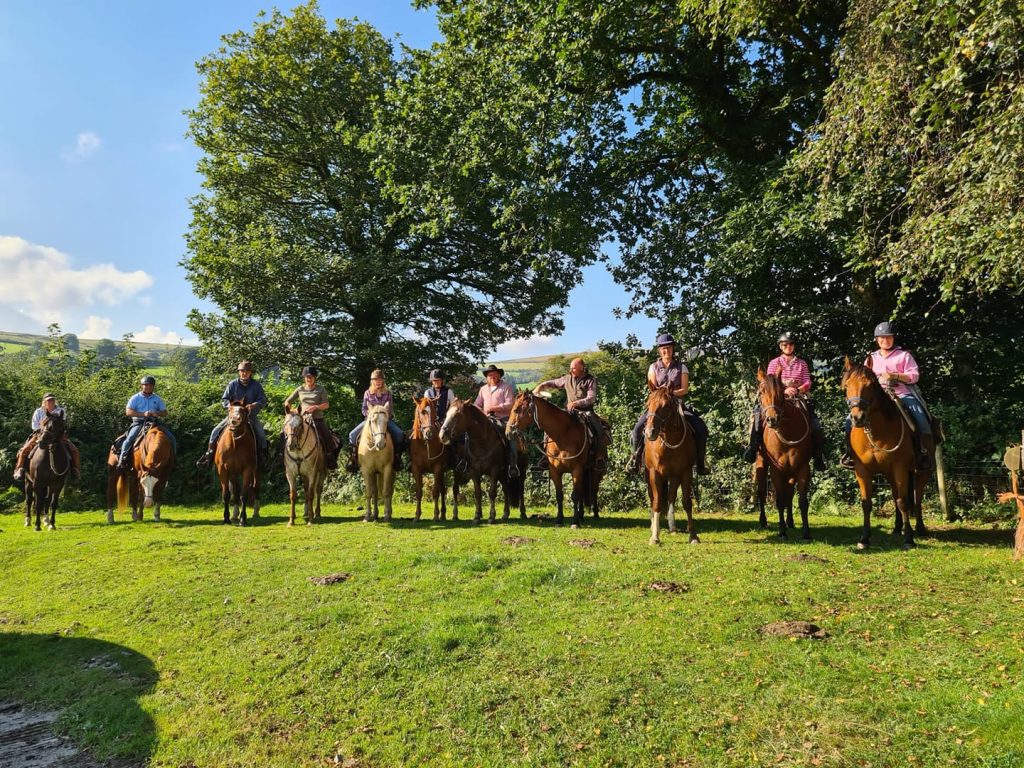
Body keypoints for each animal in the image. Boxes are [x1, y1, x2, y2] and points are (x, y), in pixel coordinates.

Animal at [506, 390, 602, 528]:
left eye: (516, 409)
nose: (508, 431)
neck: (563, 435)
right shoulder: (555, 471)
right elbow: (559, 496)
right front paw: (559, 520)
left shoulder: (577, 470)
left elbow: (574, 496)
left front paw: (574, 522)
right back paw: (581, 515)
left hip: (595, 471)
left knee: (593, 491)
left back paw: (594, 514)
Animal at [643, 383, 698, 545]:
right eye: (648, 404)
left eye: (666, 405)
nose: (650, 432)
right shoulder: (654, 473)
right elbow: (656, 502)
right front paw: (655, 537)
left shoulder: (685, 472)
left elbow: (686, 502)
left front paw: (693, 535)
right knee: (655, 498)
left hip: (674, 477)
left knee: (671, 497)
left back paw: (672, 527)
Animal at [756, 369, 813, 539]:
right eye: (761, 391)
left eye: (781, 392)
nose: (772, 419)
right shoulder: (776, 469)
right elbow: (780, 500)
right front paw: (781, 531)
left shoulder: (803, 467)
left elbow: (802, 501)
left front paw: (806, 532)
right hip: (761, 463)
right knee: (761, 491)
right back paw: (763, 521)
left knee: (789, 493)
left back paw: (791, 522)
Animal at [842, 357, 928, 550]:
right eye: (846, 385)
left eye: (870, 384)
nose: (858, 418)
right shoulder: (862, 470)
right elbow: (866, 503)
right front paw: (864, 538)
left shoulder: (900, 468)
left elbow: (904, 502)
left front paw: (909, 539)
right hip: (891, 475)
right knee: (896, 495)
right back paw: (897, 528)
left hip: (920, 471)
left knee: (917, 498)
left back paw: (919, 529)